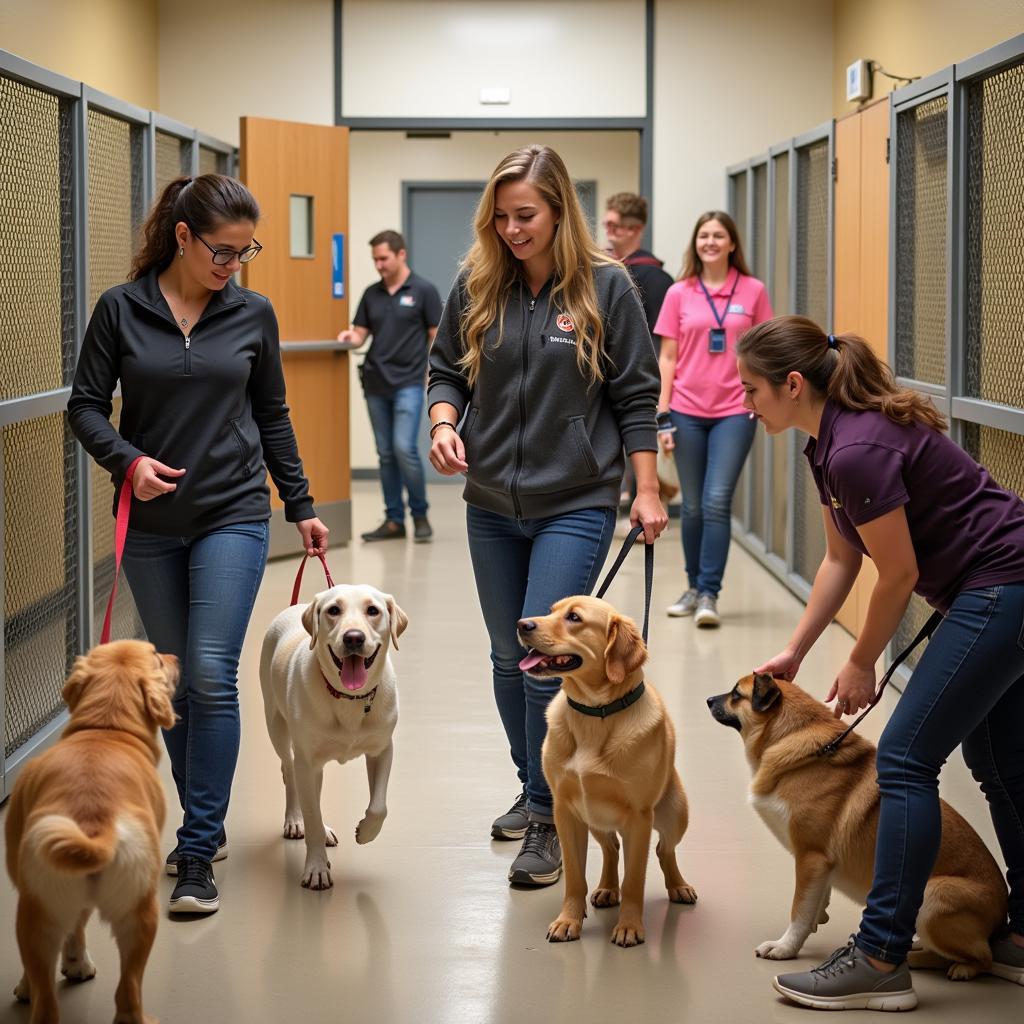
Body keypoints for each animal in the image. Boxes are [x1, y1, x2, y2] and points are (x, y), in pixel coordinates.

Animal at [4, 638, 178, 1024]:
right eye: (157, 658)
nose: (175, 656)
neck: (106, 730)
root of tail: (96, 828)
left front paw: (72, 965)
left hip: (37, 912)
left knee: (46, 1000)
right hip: (140, 916)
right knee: (128, 991)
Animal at [520, 598, 696, 946]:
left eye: (574, 618)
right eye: (550, 611)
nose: (521, 624)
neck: (595, 713)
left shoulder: (639, 818)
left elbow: (634, 880)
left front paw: (629, 926)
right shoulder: (566, 812)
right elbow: (575, 878)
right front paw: (568, 920)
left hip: (674, 814)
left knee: (664, 849)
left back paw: (678, 885)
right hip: (595, 818)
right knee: (612, 849)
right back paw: (606, 889)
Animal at [708, 675, 1003, 978]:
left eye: (735, 694)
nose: (708, 700)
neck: (792, 739)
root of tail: (1000, 921)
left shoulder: (810, 857)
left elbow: (799, 911)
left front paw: (785, 947)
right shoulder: (820, 866)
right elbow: (815, 901)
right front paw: (818, 916)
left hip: (933, 897)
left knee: (983, 958)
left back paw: (950, 966)